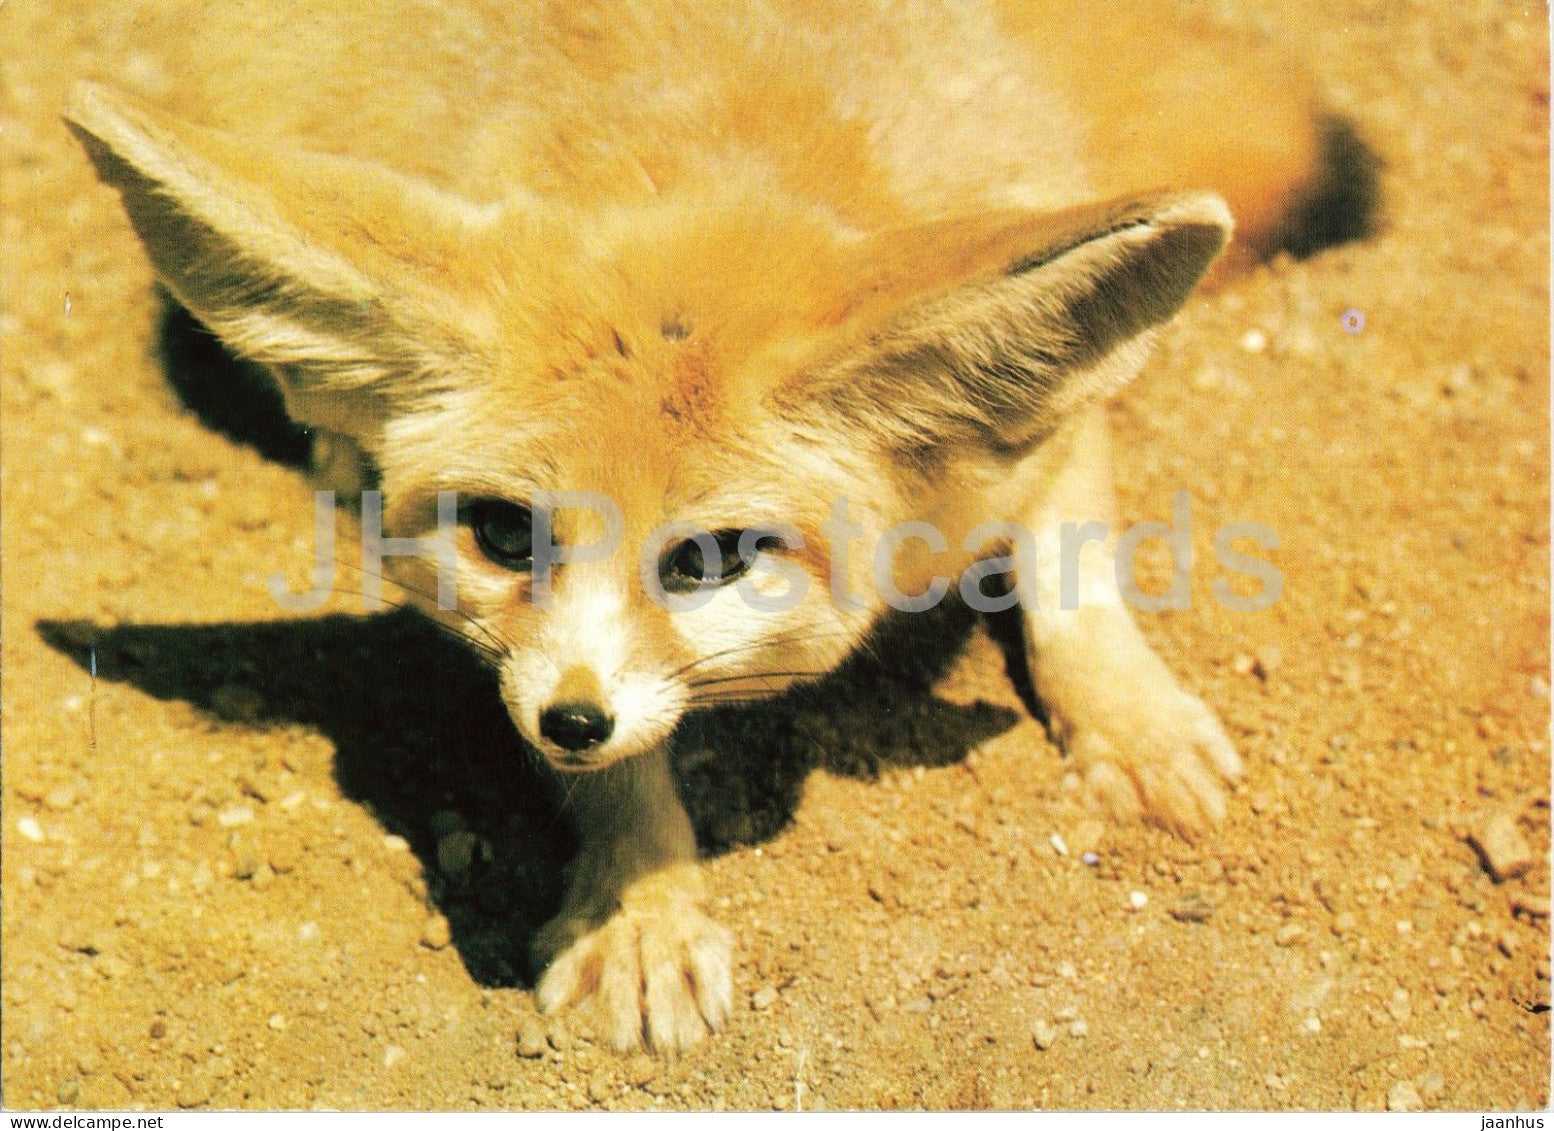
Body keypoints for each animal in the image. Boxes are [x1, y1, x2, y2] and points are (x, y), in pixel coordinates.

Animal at [65, 0, 1372, 1053]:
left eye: (707, 560)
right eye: (501, 534)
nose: (569, 721)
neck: (704, 148)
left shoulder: (1047, 407)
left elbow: (1075, 561)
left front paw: (1131, 721)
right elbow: (624, 768)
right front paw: (642, 906)